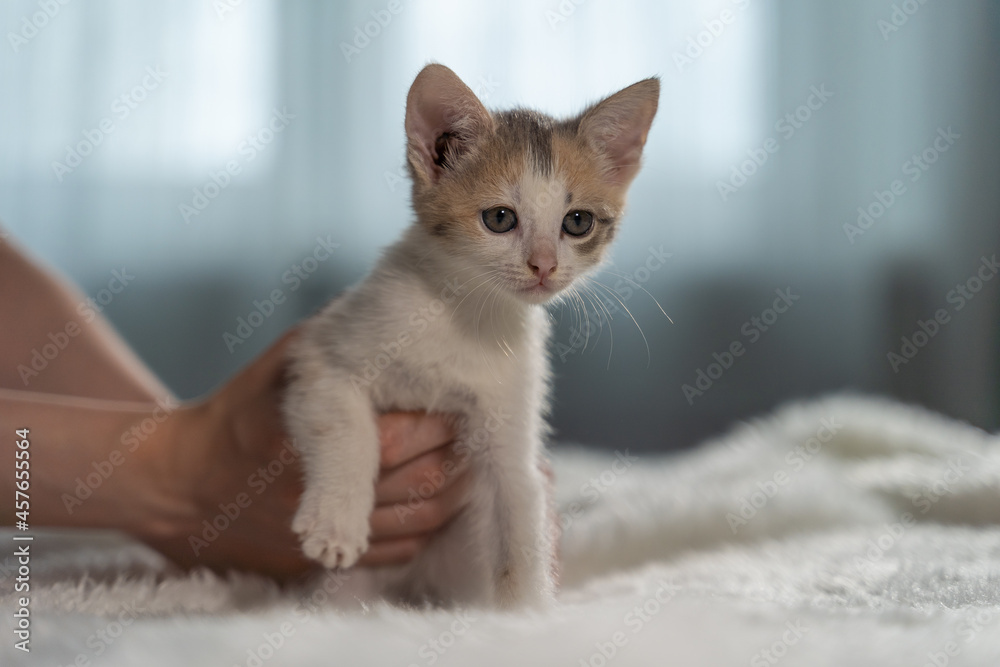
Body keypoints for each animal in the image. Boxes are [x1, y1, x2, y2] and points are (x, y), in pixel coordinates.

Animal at [284, 64, 656, 612]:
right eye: (499, 218)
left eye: (577, 222)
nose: (544, 265)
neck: (466, 316)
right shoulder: (320, 353)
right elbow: (347, 427)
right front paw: (336, 523)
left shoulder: (511, 430)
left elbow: (520, 509)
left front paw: (526, 615)